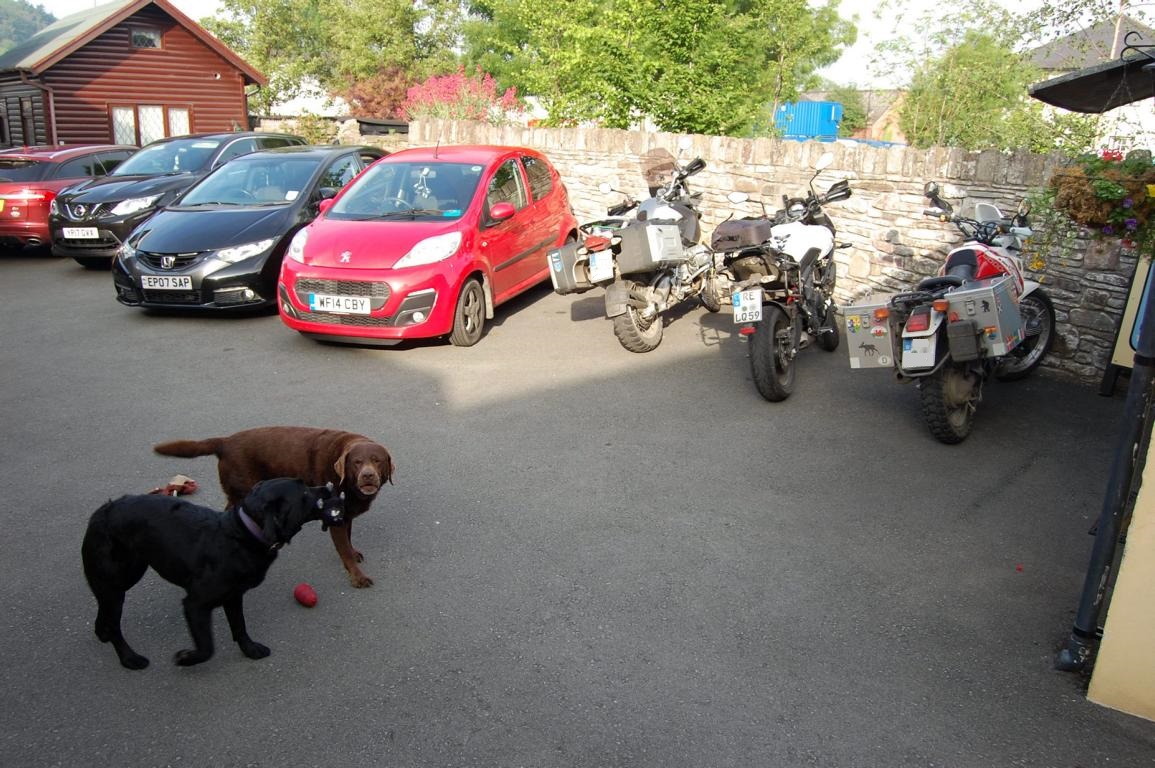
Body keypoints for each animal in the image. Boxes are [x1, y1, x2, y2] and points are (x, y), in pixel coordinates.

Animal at [82, 475, 341, 669]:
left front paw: (250, 650)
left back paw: (102, 633)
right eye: (304, 494)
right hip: (117, 580)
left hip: (127, 574)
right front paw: (186, 658)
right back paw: (129, 658)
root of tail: (102, 511)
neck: (243, 535)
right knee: (114, 622)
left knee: (104, 610)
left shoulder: (234, 596)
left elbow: (239, 626)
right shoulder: (195, 604)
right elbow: (207, 647)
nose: (328, 487)